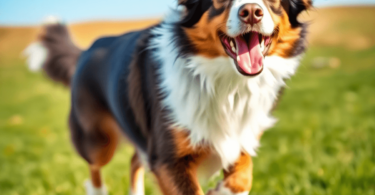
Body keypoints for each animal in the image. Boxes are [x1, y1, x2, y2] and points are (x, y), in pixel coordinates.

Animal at [24, 0, 314, 194]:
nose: (251, 11)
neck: (223, 82)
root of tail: (88, 49)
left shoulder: (241, 134)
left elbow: (243, 173)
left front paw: (222, 189)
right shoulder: (167, 158)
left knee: (134, 161)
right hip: (98, 141)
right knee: (95, 170)